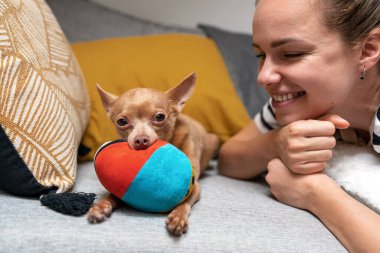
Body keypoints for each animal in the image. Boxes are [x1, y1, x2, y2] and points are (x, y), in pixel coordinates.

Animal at [87, 73, 218, 235]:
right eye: (122, 121)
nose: (141, 139)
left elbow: (185, 201)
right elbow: (112, 194)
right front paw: (101, 205)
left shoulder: (195, 185)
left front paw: (178, 216)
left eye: (160, 117)